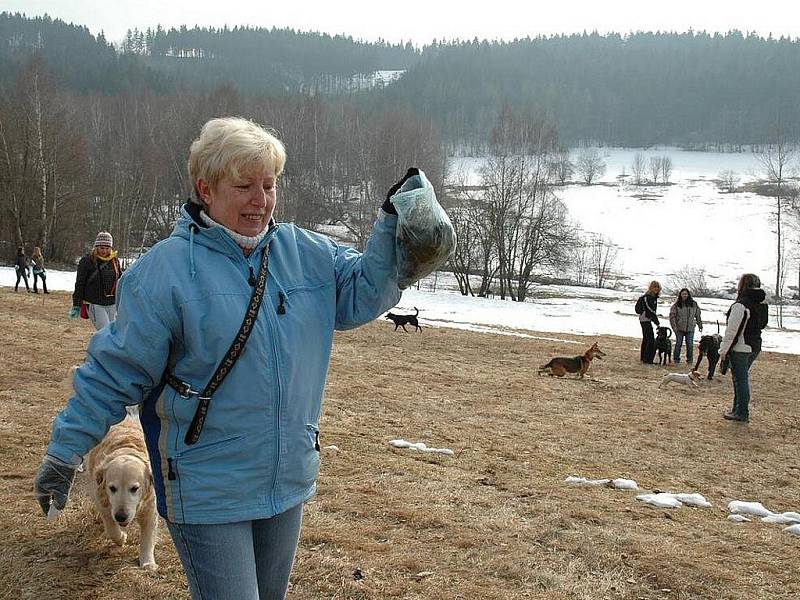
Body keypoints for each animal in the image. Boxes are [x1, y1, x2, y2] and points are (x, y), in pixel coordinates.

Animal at [86, 414, 159, 568]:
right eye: (112, 488)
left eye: (134, 488)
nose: (121, 516)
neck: (126, 449)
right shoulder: (103, 502)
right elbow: (111, 528)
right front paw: (121, 538)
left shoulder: (150, 507)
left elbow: (148, 538)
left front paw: (148, 563)